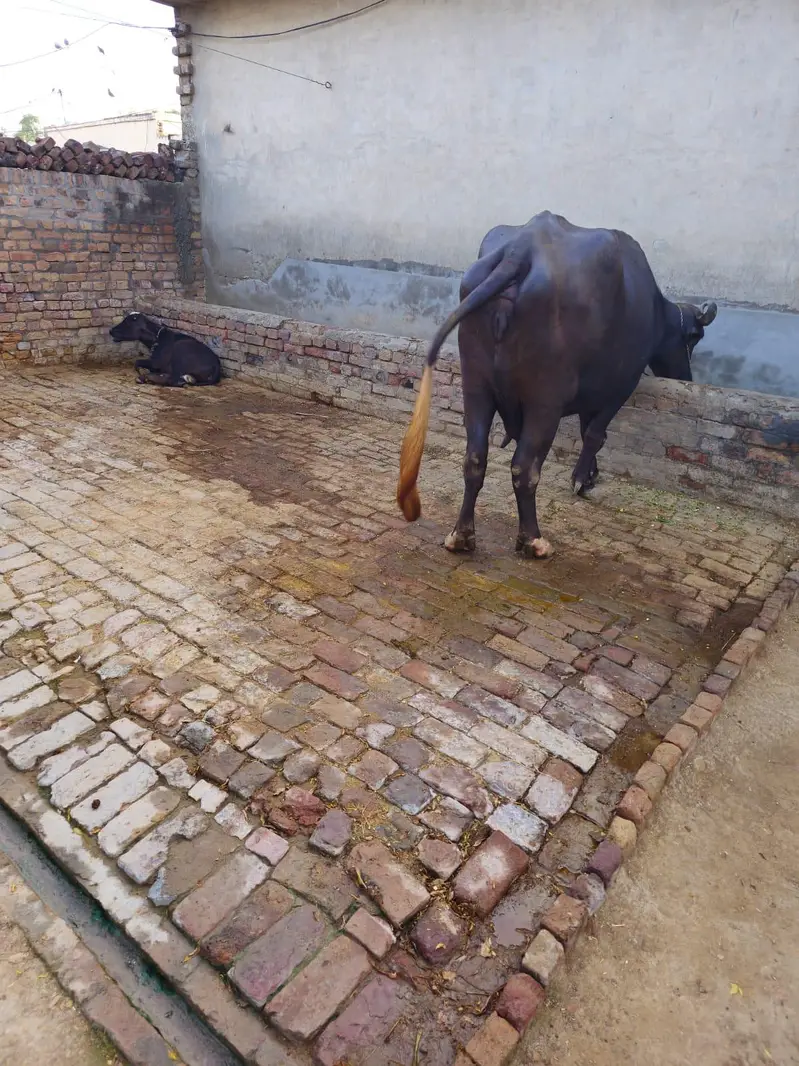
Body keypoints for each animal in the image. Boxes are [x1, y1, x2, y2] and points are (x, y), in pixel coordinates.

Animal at [397, 211, 717, 558]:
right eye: (694, 336)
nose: (686, 376)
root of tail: (519, 251)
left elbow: (585, 430)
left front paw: (590, 475)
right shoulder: (621, 385)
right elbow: (595, 433)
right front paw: (581, 479)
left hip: (476, 386)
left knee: (474, 458)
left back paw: (461, 535)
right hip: (544, 402)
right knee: (524, 467)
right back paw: (533, 540)